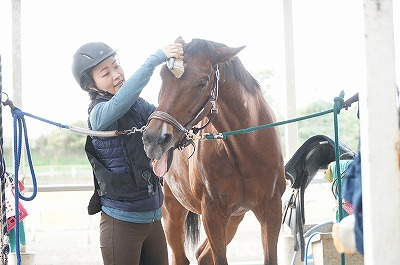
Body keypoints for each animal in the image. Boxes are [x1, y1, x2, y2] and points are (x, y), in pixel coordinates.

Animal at [142, 37, 286, 264]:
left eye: (202, 82)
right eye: (163, 76)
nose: (153, 138)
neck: (246, 150)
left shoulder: (271, 209)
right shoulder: (212, 214)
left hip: (234, 217)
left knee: (202, 255)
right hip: (171, 211)